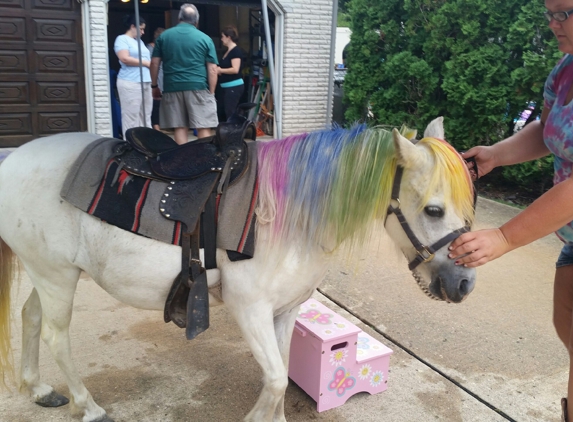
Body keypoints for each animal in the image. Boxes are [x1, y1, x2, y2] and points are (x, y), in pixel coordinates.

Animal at [0, 117, 474, 420]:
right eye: (433, 209)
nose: (464, 283)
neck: (292, 213)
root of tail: (12, 160)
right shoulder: (250, 309)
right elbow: (277, 380)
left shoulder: (285, 311)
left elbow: (280, 374)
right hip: (55, 275)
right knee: (56, 337)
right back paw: (90, 407)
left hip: (49, 273)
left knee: (31, 317)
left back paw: (39, 389)